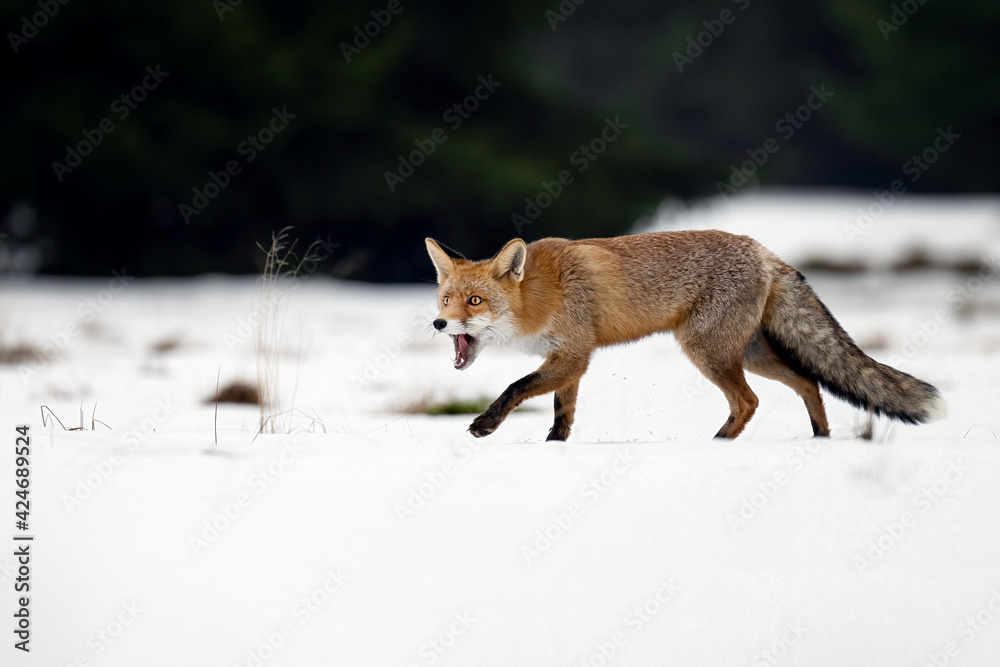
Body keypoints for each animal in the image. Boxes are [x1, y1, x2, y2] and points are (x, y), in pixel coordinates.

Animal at [425, 231, 946, 440]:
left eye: (475, 302)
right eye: (445, 300)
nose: (438, 324)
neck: (541, 293)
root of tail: (762, 250)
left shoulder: (572, 354)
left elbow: (516, 388)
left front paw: (485, 425)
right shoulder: (570, 359)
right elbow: (562, 414)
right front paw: (555, 448)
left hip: (706, 351)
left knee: (749, 401)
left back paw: (716, 444)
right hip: (751, 354)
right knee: (808, 382)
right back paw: (821, 440)